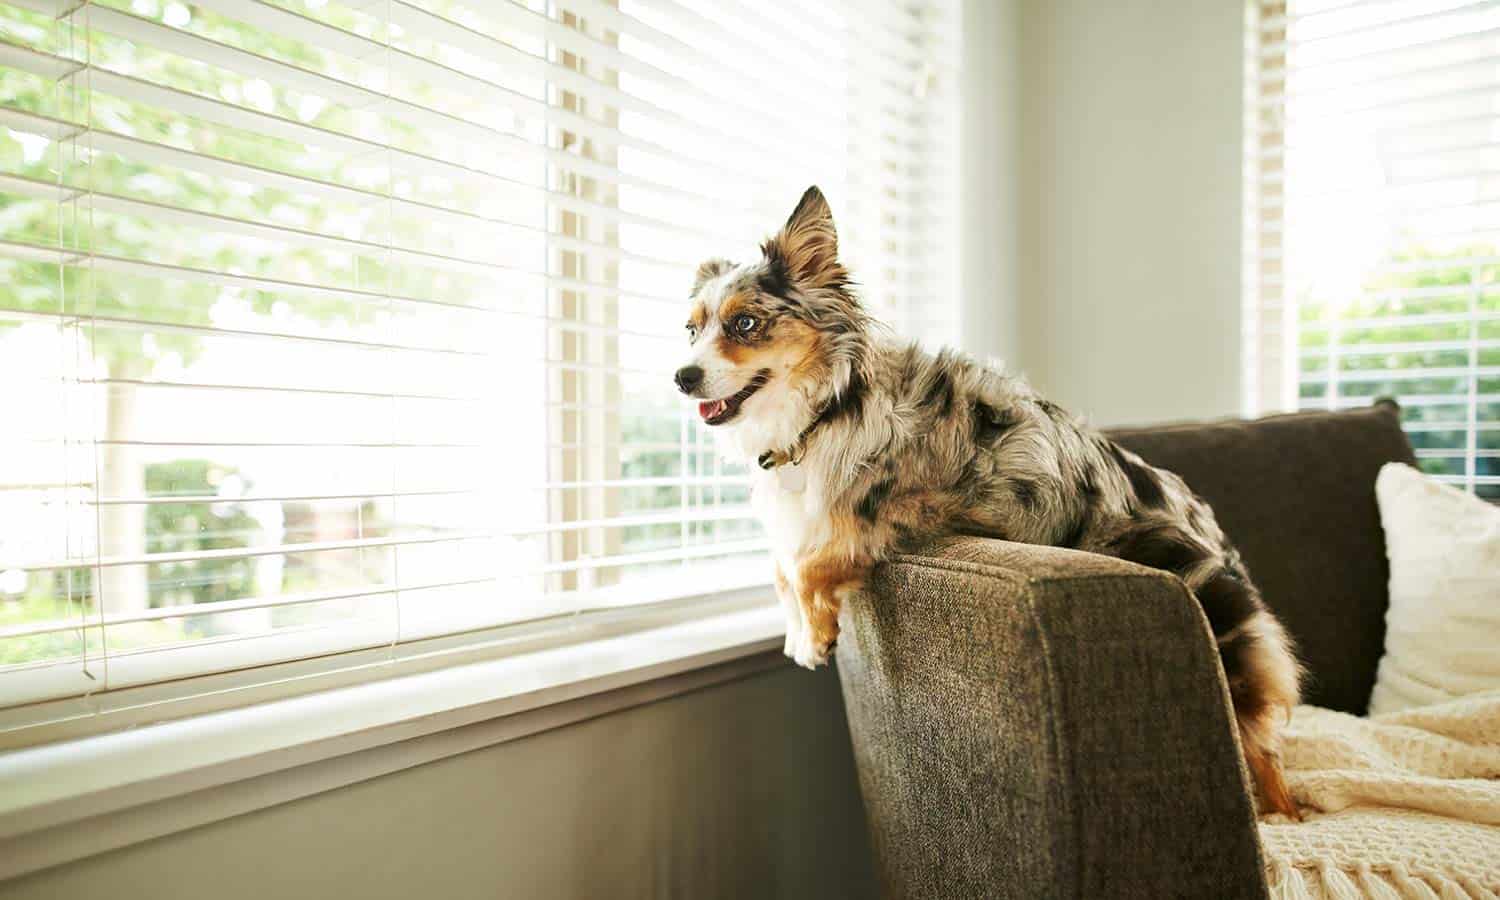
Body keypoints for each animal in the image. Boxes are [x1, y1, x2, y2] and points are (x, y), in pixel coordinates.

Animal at [678, 186, 1302, 822]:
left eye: (745, 323)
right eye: (691, 330)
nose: (682, 376)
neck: (828, 407)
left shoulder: (918, 506)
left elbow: (809, 563)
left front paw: (815, 636)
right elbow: (782, 568)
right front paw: (795, 630)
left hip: (1215, 612)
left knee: (1261, 747)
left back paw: (1282, 813)